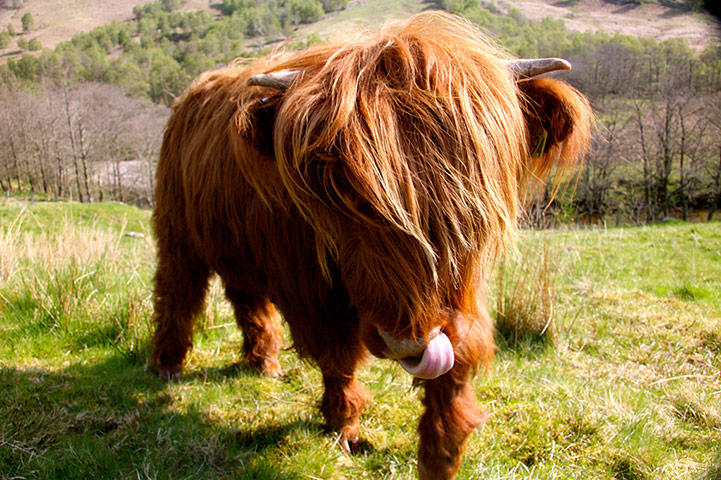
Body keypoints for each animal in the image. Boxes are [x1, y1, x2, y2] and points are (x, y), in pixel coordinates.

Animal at [150, 12, 592, 480]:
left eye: (468, 183)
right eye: (336, 181)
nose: (404, 344)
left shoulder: (460, 296)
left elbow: (454, 366)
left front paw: (442, 452)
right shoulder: (311, 289)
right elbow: (338, 356)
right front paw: (344, 427)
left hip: (238, 245)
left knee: (246, 298)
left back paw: (263, 363)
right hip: (177, 232)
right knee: (177, 291)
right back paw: (167, 365)